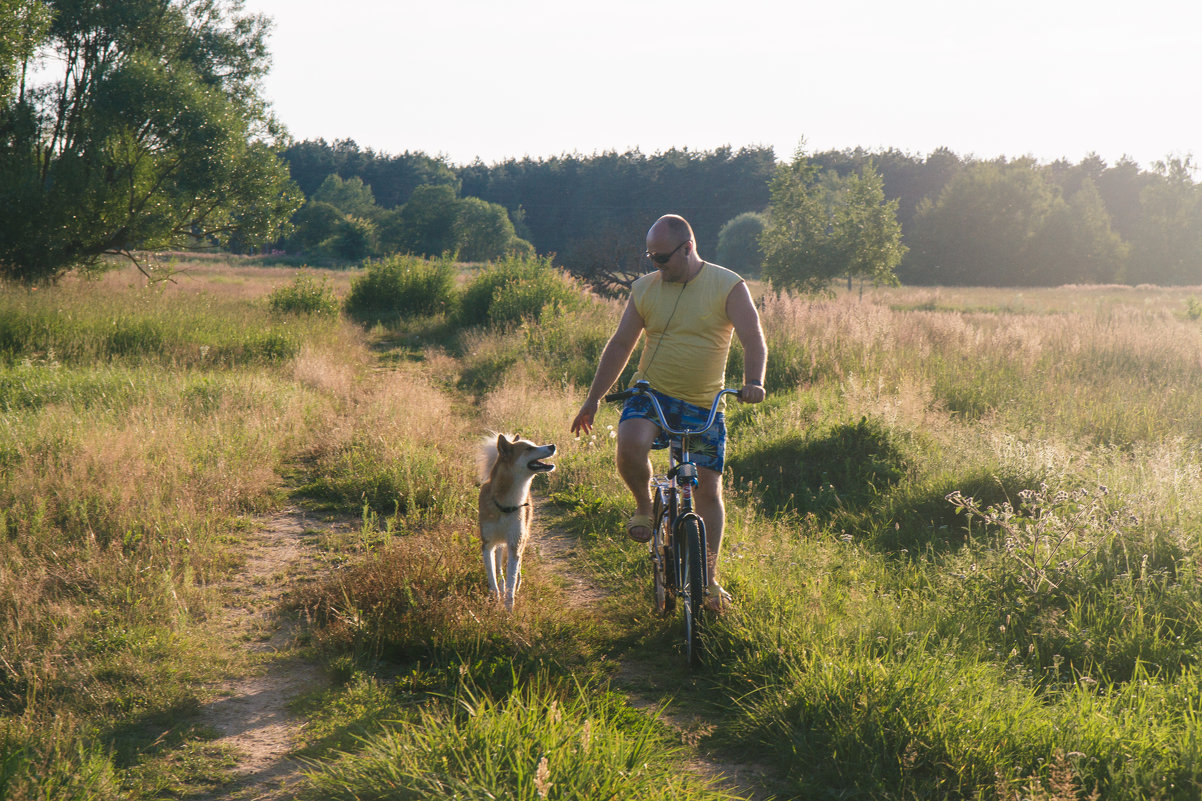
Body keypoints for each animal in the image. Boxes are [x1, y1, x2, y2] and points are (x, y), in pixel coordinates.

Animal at [475, 432, 555, 608]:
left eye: (534, 444)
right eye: (529, 448)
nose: (552, 446)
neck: (505, 506)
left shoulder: (514, 543)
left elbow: (512, 578)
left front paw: (508, 608)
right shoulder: (487, 545)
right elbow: (492, 576)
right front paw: (495, 598)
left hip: (522, 537)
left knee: (516, 567)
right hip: (499, 543)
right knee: (498, 565)